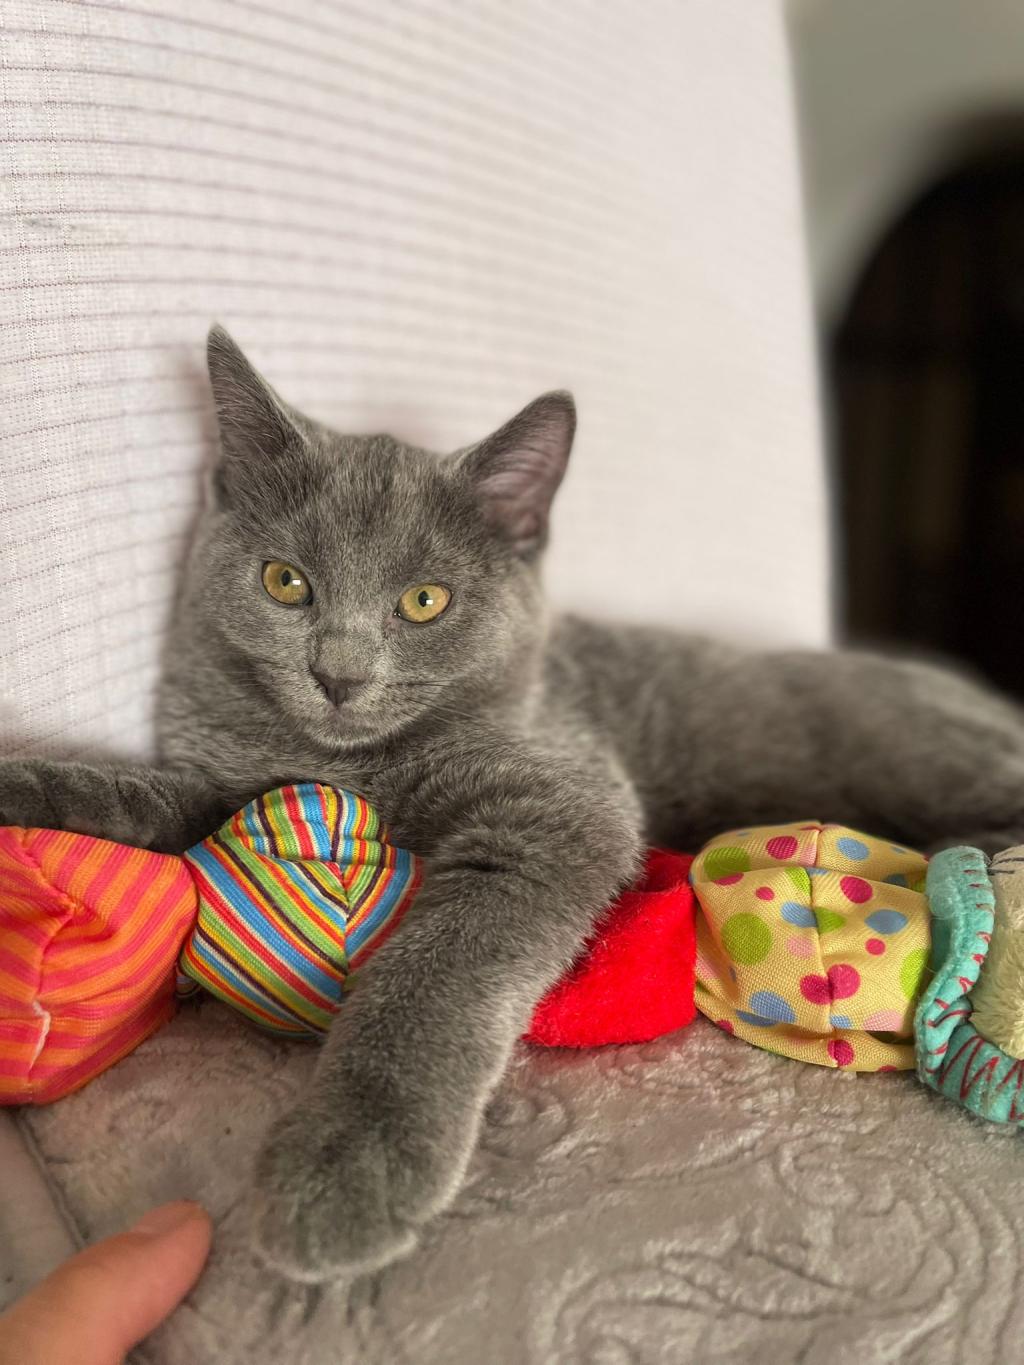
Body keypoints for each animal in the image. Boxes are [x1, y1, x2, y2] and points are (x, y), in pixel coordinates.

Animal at [4, 325, 1024, 1282]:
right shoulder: (227, 777)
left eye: (424, 601)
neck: (354, 763)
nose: (339, 676)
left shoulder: (562, 796)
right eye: (284, 582)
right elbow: (145, 794)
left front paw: (346, 1166)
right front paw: (30, 785)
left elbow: (444, 962)